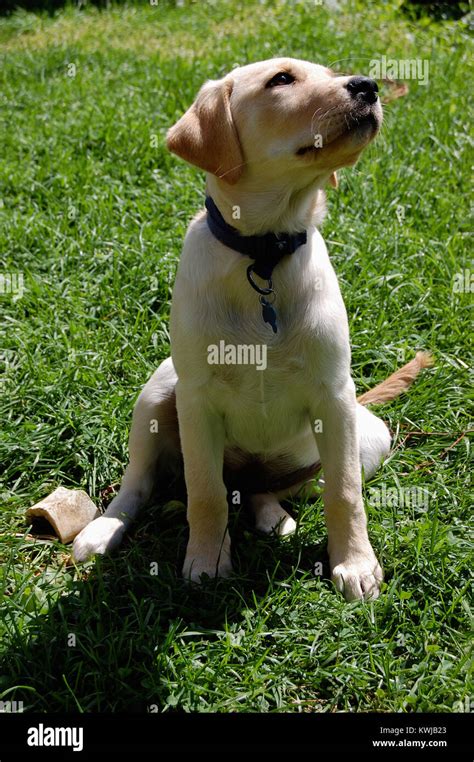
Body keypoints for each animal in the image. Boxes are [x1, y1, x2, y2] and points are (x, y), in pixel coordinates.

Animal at [73, 56, 430, 596]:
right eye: (281, 80)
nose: (368, 86)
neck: (263, 253)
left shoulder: (333, 395)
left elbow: (345, 493)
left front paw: (356, 565)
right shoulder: (196, 400)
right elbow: (205, 492)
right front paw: (205, 560)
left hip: (368, 436)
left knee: (276, 487)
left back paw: (272, 515)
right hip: (159, 390)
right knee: (142, 482)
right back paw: (103, 529)